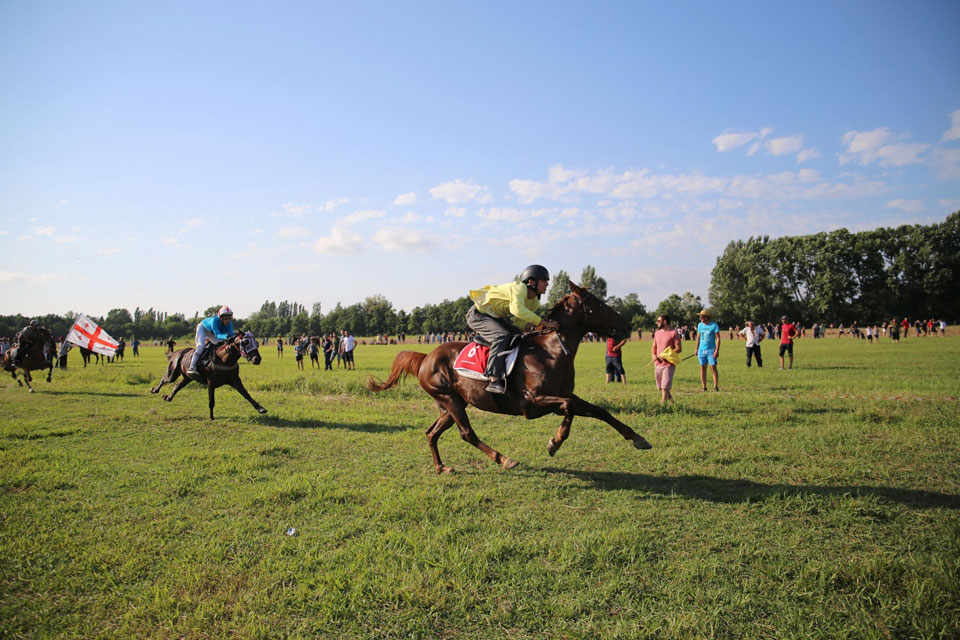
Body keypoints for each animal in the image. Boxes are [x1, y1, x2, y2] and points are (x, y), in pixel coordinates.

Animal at [368, 282, 652, 472]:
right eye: (598, 304)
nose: (627, 326)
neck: (552, 351)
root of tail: (426, 357)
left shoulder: (562, 396)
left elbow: (598, 410)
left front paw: (638, 438)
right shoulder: (532, 403)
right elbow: (569, 408)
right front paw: (555, 441)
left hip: (451, 404)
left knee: (431, 433)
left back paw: (441, 467)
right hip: (449, 399)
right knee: (467, 433)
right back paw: (504, 459)